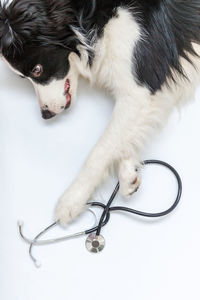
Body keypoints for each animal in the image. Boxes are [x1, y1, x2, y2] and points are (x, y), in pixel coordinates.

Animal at [0, 0, 200, 225]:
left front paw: (71, 200)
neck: (91, 14)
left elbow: (100, 151)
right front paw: (128, 172)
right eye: (24, 78)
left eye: (37, 70)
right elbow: (126, 136)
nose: (46, 115)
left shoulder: (139, 86)